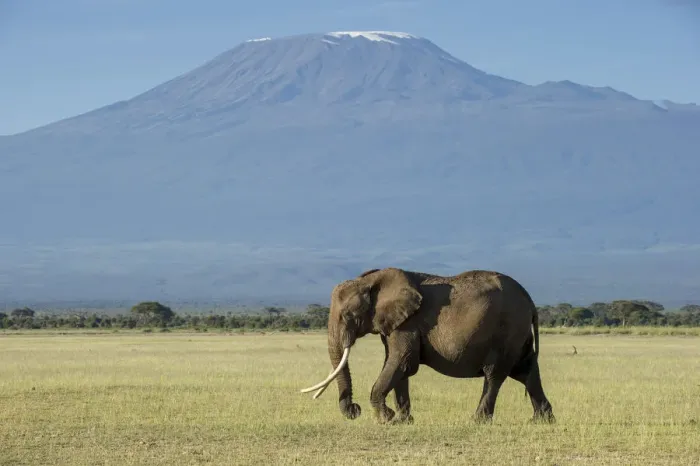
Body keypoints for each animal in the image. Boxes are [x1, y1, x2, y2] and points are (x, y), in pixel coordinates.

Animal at [300, 267, 555, 424]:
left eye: (348, 315)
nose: (355, 409)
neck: (370, 280)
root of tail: (530, 301)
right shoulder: (396, 322)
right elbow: (397, 364)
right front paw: (402, 421)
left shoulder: (408, 324)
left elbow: (402, 362)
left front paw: (385, 419)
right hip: (518, 333)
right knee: (526, 370)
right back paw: (541, 421)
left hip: (507, 330)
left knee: (495, 374)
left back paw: (478, 421)